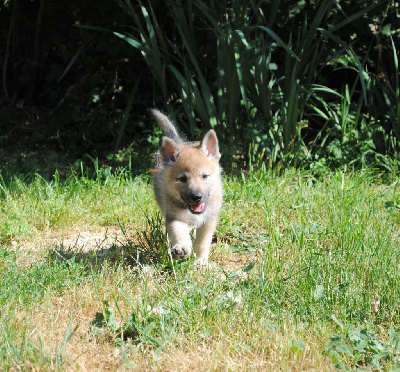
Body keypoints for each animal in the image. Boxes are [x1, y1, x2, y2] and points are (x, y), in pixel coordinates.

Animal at [148, 108, 222, 264]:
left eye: (204, 176)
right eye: (182, 178)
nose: (197, 197)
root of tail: (179, 141)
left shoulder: (209, 220)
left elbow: (202, 242)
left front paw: (200, 261)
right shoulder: (175, 218)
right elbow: (179, 233)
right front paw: (182, 248)